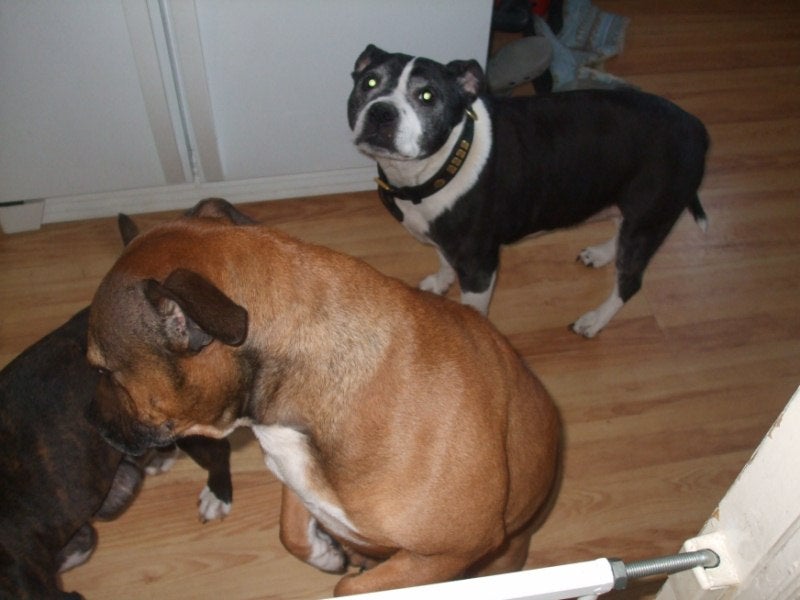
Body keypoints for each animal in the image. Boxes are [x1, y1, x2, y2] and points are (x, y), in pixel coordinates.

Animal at [86, 198, 556, 596]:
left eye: (102, 370)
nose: (91, 420)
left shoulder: (446, 553)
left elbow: (348, 589)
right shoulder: (297, 477)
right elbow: (291, 534)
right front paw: (326, 553)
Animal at [346, 45, 708, 338]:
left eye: (427, 96)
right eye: (370, 83)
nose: (381, 111)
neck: (441, 163)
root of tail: (695, 127)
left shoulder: (479, 266)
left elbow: (474, 310)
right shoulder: (443, 238)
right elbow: (443, 259)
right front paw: (440, 282)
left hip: (650, 217)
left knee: (630, 281)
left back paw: (594, 320)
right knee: (620, 230)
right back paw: (603, 254)